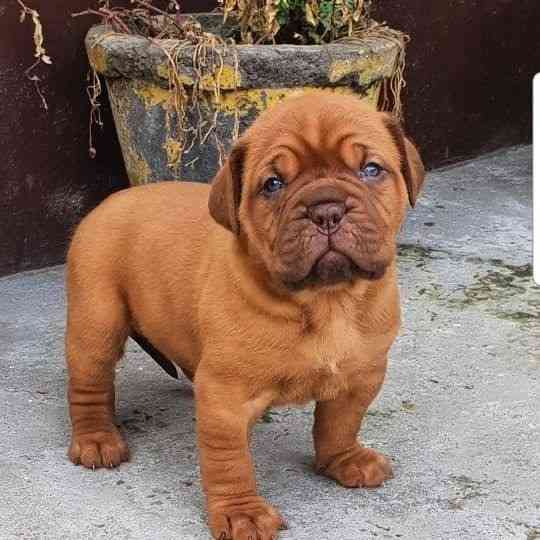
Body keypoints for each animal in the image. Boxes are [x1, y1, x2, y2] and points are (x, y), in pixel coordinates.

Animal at [65, 93, 424, 540]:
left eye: (371, 169)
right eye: (273, 184)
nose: (326, 209)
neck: (326, 301)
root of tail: (108, 203)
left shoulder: (362, 375)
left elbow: (340, 423)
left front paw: (342, 460)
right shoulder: (225, 397)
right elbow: (228, 461)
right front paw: (242, 513)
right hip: (96, 322)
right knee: (90, 385)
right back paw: (96, 439)